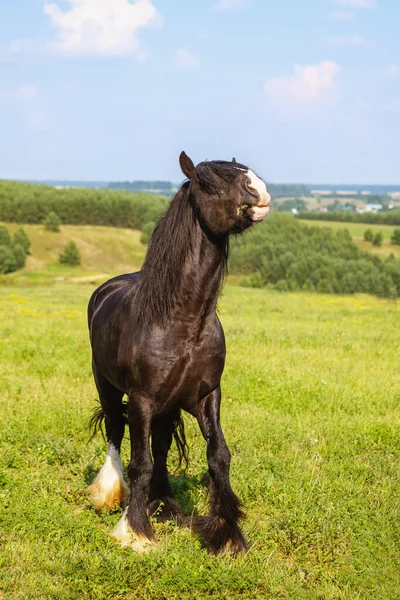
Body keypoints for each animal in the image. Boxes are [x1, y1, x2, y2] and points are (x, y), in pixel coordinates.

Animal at [87, 150, 272, 552]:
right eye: (209, 182)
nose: (259, 190)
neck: (182, 320)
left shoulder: (207, 395)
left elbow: (218, 457)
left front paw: (228, 534)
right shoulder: (141, 400)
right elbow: (138, 462)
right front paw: (135, 533)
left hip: (167, 406)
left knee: (159, 447)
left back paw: (165, 505)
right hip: (108, 387)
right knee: (115, 432)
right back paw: (109, 494)